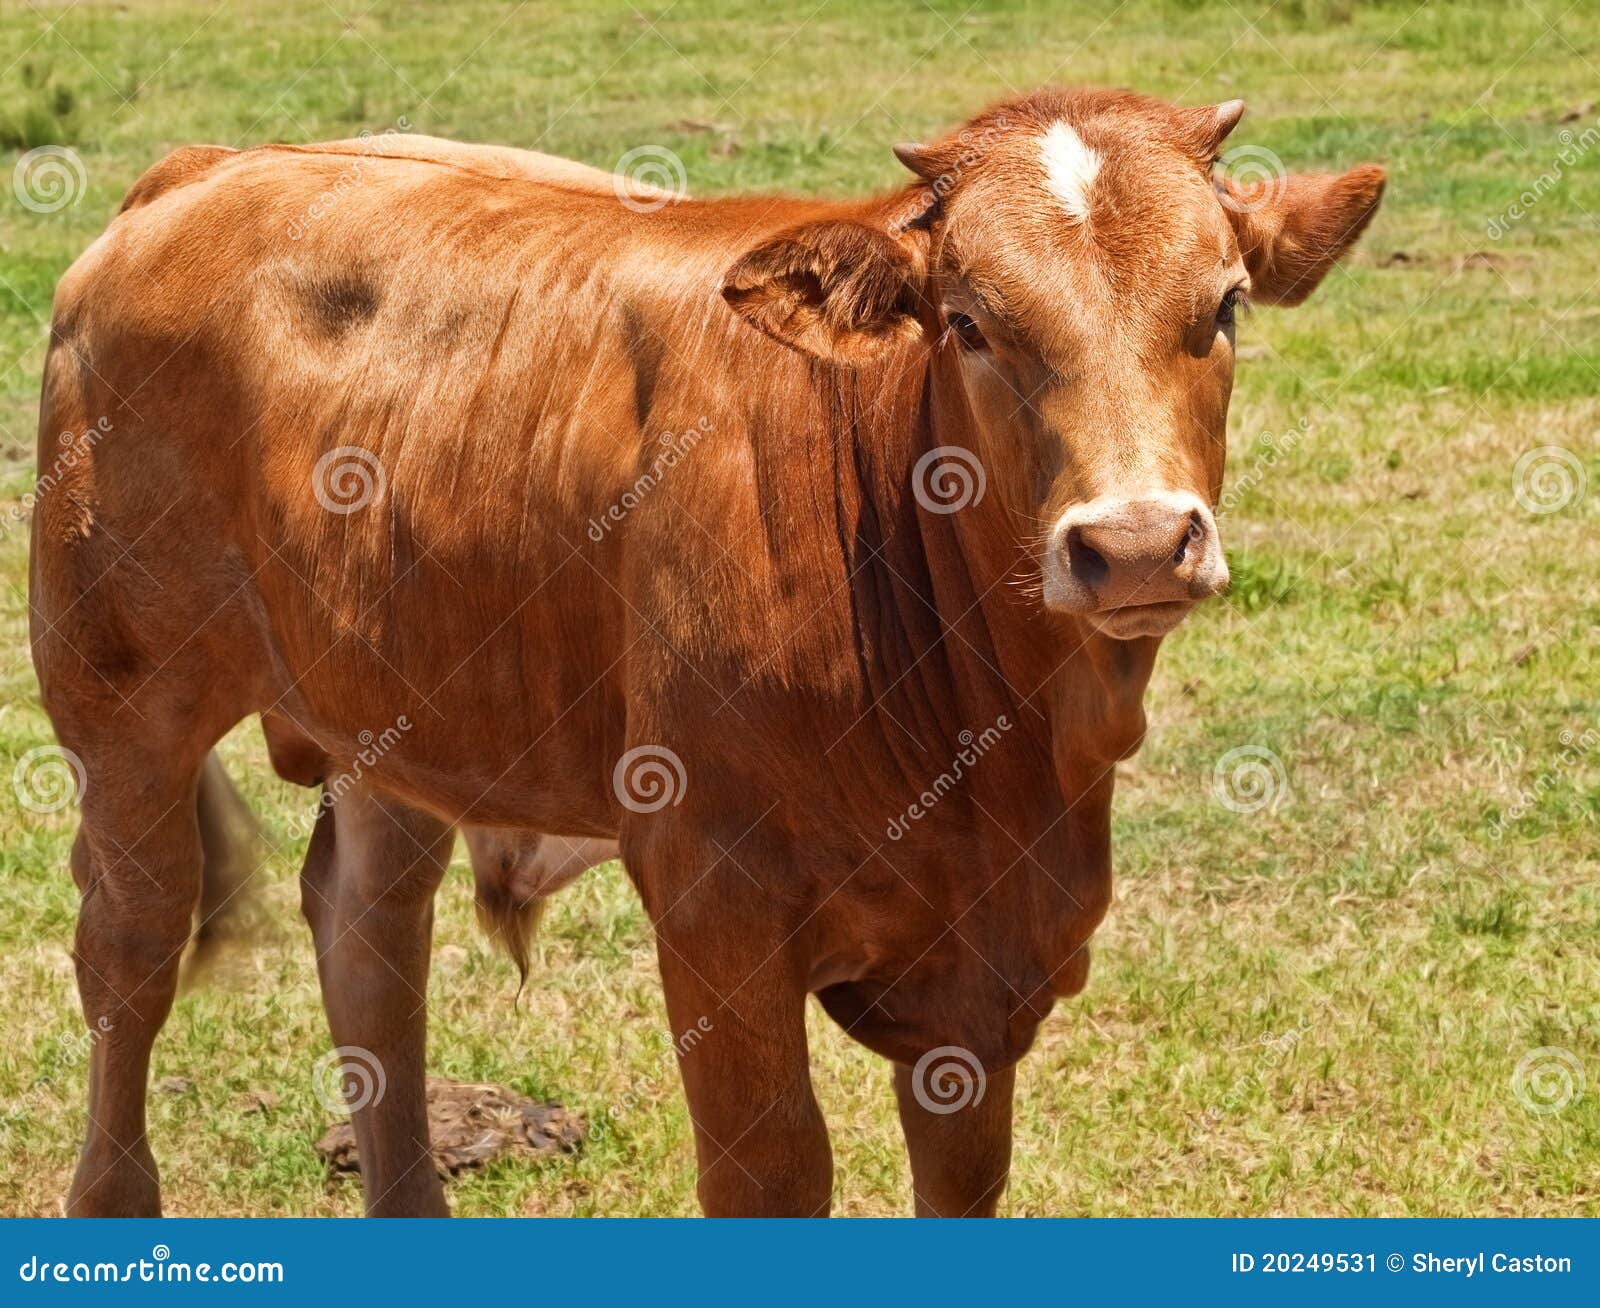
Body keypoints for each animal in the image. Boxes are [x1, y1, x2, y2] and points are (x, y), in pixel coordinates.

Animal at [31, 86, 1383, 1216]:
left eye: (1223, 304)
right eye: (966, 323)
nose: (1138, 544)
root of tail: (213, 167)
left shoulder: (985, 975)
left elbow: (960, 1174)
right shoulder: (711, 891)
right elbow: (771, 1170)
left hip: (399, 706)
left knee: (369, 932)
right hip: (118, 701)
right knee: (130, 950)